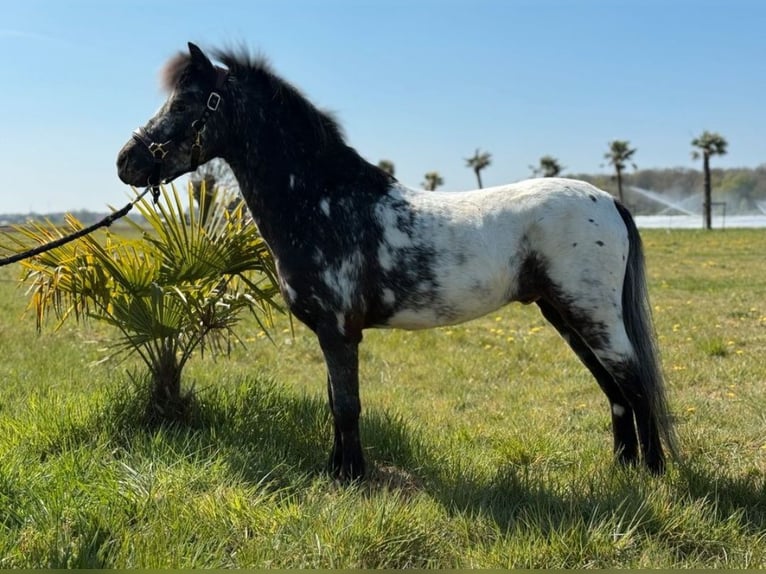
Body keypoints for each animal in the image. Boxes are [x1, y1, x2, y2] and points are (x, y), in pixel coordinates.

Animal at [117, 43, 677, 481]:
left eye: (188, 101)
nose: (127, 161)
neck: (324, 202)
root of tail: (608, 200)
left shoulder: (339, 331)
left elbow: (347, 404)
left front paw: (351, 477)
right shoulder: (331, 332)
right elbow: (334, 401)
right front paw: (336, 470)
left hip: (590, 312)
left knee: (633, 380)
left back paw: (653, 471)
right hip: (563, 313)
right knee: (612, 385)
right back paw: (624, 467)